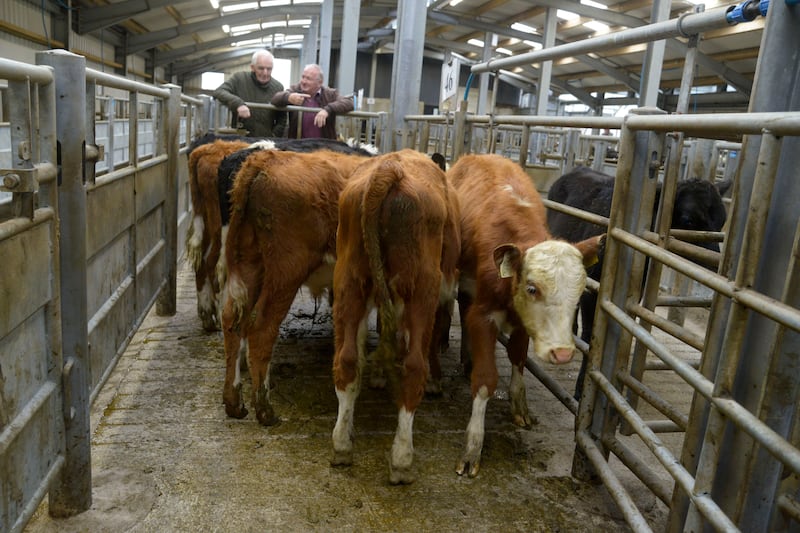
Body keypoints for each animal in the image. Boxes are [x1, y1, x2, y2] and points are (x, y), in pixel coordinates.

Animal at [220, 148, 368, 426]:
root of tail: (266, 159)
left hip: (250, 262)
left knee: (232, 320)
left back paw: (234, 402)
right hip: (286, 270)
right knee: (262, 328)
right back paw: (264, 409)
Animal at [330, 149, 460, 482]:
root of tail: (389, 170)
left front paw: (376, 375)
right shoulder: (443, 290)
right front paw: (436, 381)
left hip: (350, 282)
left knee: (347, 359)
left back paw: (342, 444)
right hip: (423, 288)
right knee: (414, 366)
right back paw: (402, 459)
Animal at [446, 152, 604, 476]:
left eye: (580, 291)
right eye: (532, 288)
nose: (562, 353)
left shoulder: (522, 323)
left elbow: (518, 358)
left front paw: (519, 405)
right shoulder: (483, 315)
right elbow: (486, 379)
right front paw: (473, 446)